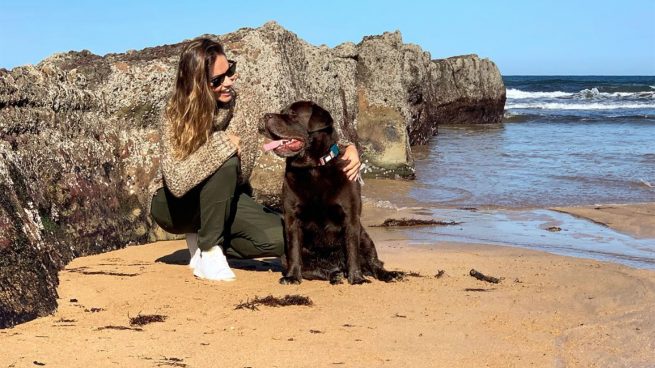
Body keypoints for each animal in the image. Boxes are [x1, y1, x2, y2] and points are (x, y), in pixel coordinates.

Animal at [260, 100, 402, 284]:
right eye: (282, 111)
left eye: (292, 114)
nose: (266, 116)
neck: (313, 167)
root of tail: (337, 265)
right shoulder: (292, 217)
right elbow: (294, 250)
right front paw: (292, 276)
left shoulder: (350, 216)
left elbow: (352, 250)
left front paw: (357, 278)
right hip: (289, 257)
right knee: (314, 269)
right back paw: (335, 275)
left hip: (365, 238)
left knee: (374, 263)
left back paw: (387, 274)